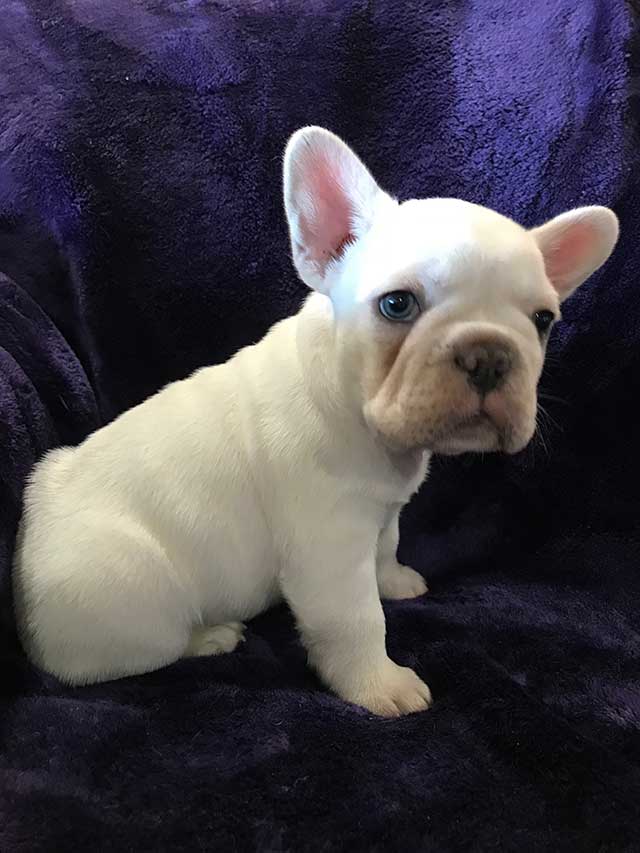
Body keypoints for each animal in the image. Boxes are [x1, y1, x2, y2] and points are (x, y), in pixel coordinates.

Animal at [13, 125, 616, 712]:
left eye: (542, 320)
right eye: (397, 304)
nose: (488, 354)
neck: (362, 417)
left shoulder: (380, 515)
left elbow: (387, 547)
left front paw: (394, 581)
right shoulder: (329, 552)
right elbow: (357, 621)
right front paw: (378, 686)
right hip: (136, 594)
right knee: (133, 655)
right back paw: (210, 636)